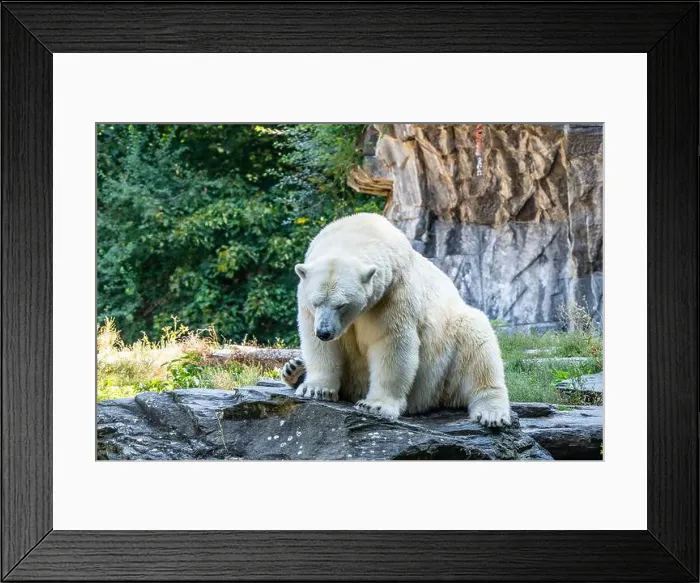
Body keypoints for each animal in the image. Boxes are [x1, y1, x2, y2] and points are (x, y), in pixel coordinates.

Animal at [281, 212, 511, 427]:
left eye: (341, 305)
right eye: (316, 302)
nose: (324, 332)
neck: (359, 231)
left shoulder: (392, 294)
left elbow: (391, 343)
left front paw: (375, 405)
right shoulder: (307, 305)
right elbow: (320, 346)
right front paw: (316, 389)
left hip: (449, 348)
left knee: (478, 345)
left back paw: (492, 413)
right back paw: (294, 369)